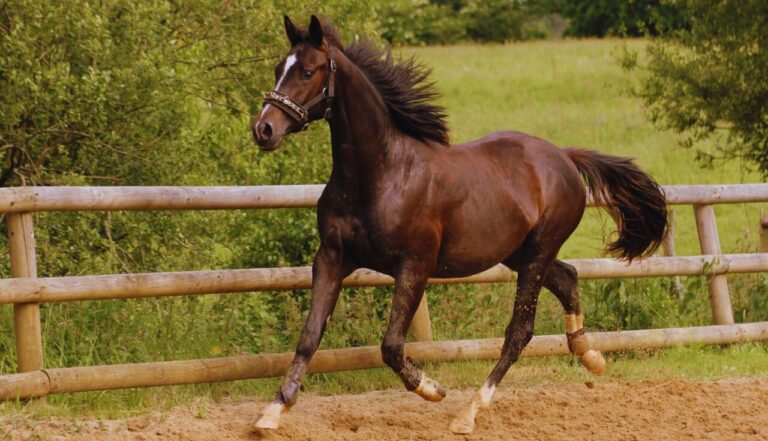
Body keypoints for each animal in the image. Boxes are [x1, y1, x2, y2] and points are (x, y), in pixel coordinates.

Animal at [250, 16, 664, 434]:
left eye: (307, 71)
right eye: (278, 67)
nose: (264, 129)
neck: (381, 175)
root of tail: (563, 156)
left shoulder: (414, 267)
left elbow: (391, 346)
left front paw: (433, 389)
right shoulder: (332, 259)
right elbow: (309, 336)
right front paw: (273, 412)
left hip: (538, 251)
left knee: (519, 331)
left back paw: (469, 412)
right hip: (518, 253)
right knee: (568, 278)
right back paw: (590, 356)